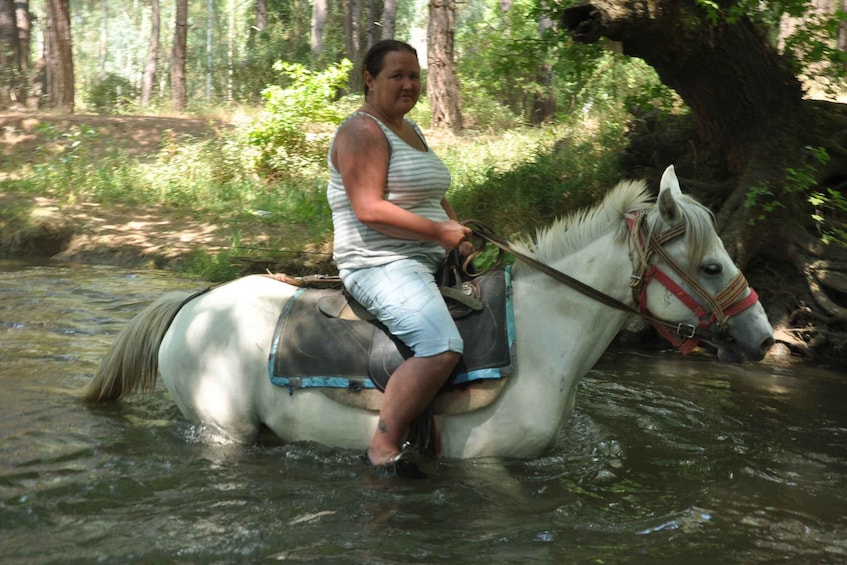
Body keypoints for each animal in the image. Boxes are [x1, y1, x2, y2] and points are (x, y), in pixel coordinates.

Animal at [86, 166, 776, 458]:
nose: (764, 336)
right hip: (224, 429)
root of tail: (193, 304)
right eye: (711, 267)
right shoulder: (488, 468)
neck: (545, 335)